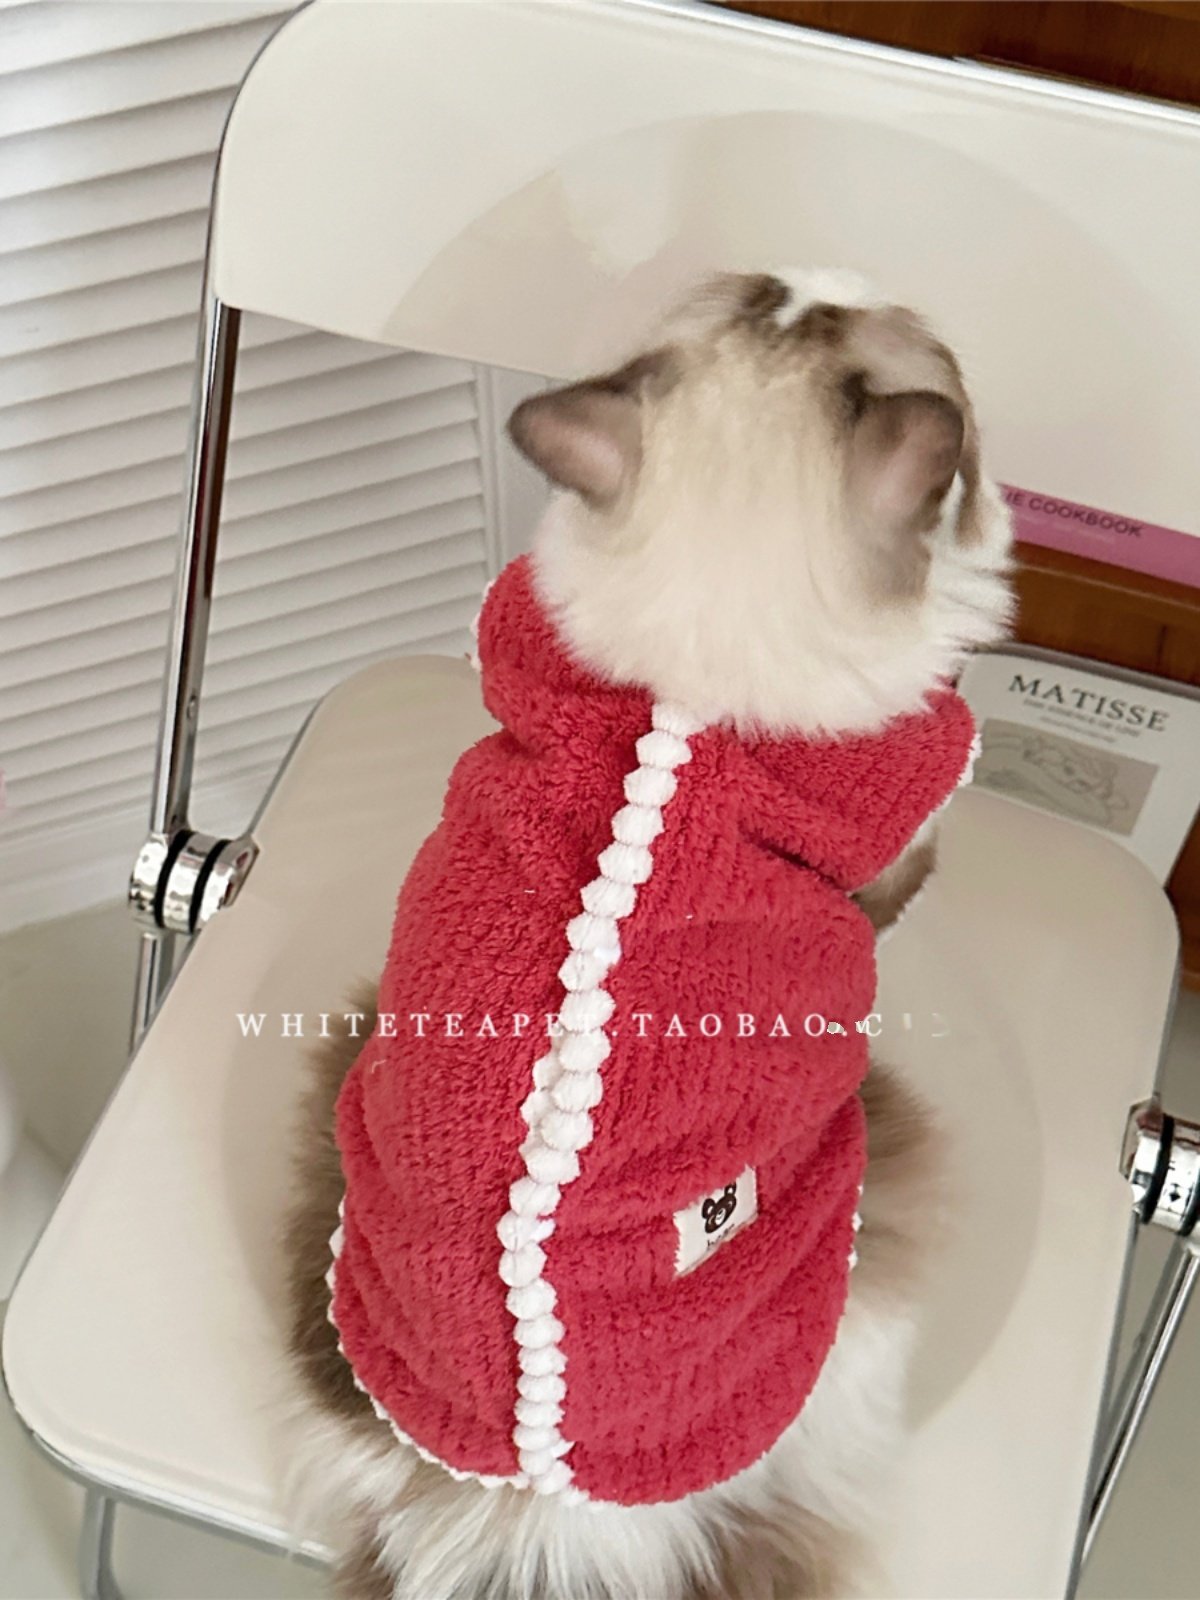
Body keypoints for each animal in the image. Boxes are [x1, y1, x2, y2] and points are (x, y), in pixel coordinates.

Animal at [283, 268, 1013, 1599]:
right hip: (863, 1178)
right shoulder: (896, 827)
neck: (688, 703)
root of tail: (536, 1503)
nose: (832, 274)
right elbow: (905, 876)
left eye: (774, 288)